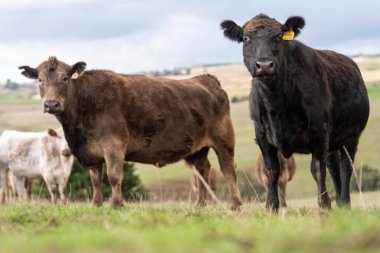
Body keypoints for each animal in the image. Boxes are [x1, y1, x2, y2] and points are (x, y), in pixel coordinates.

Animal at [18, 57, 243, 210]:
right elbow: (96, 180)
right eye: (40, 79)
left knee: (228, 170)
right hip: (197, 148)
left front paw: (116, 204)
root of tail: (206, 79)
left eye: (65, 78)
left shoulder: (114, 144)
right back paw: (199, 205)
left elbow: (114, 176)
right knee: (202, 171)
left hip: (224, 140)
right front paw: (96, 204)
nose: (51, 104)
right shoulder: (92, 152)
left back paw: (235, 204)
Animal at [221, 14, 370, 211]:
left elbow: (317, 169)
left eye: (278, 37)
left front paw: (324, 205)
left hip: (351, 136)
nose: (264, 65)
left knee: (346, 167)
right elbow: (271, 171)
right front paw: (271, 207)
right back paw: (339, 203)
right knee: (334, 168)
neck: (276, 104)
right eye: (245, 38)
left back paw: (344, 202)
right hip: (333, 143)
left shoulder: (319, 130)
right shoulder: (261, 134)